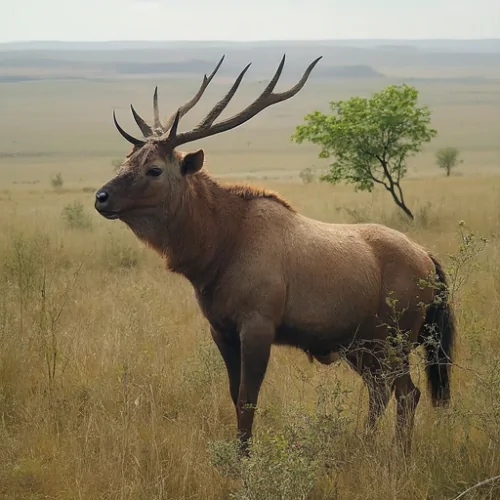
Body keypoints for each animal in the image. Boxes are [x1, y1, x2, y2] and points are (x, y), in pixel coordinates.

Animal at [94, 54, 458, 458]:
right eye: (127, 158)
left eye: (154, 169)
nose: (101, 197)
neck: (216, 252)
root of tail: (430, 261)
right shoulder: (220, 329)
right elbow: (234, 395)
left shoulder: (258, 324)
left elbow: (247, 399)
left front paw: (243, 459)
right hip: (363, 344)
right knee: (381, 389)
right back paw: (364, 443)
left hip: (395, 337)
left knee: (408, 392)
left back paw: (399, 453)